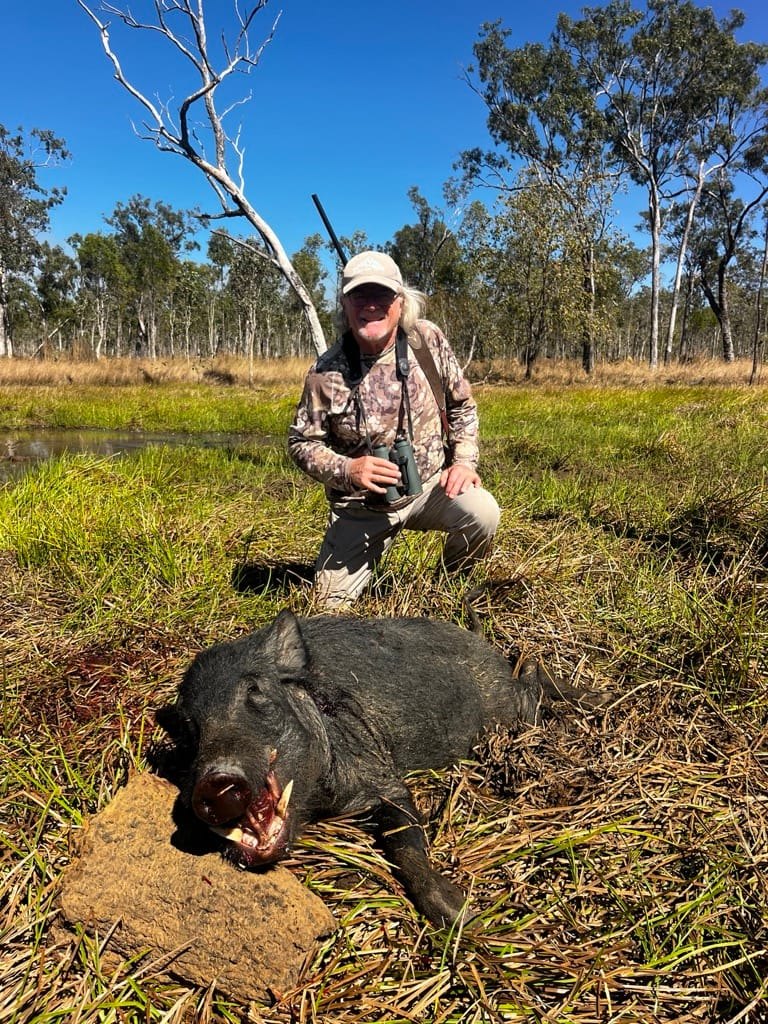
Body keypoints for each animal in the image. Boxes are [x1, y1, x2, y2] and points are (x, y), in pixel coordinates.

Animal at [157, 609, 547, 927]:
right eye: (191, 726)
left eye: (254, 691)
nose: (214, 783)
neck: (318, 805)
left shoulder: (383, 779)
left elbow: (403, 842)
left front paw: (462, 916)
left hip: (506, 707)